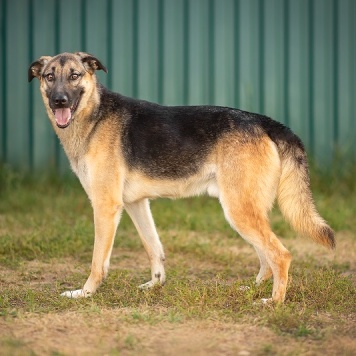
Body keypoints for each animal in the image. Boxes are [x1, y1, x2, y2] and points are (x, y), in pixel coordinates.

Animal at [29, 52, 336, 304]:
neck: (94, 115)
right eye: (49, 77)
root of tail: (264, 121)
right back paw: (252, 291)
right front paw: (155, 285)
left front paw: (85, 293)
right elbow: (154, 248)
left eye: (74, 76)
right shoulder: (136, 205)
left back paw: (273, 303)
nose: (59, 100)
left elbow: (97, 262)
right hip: (246, 213)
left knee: (280, 255)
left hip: (239, 212)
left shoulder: (105, 207)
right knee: (266, 258)